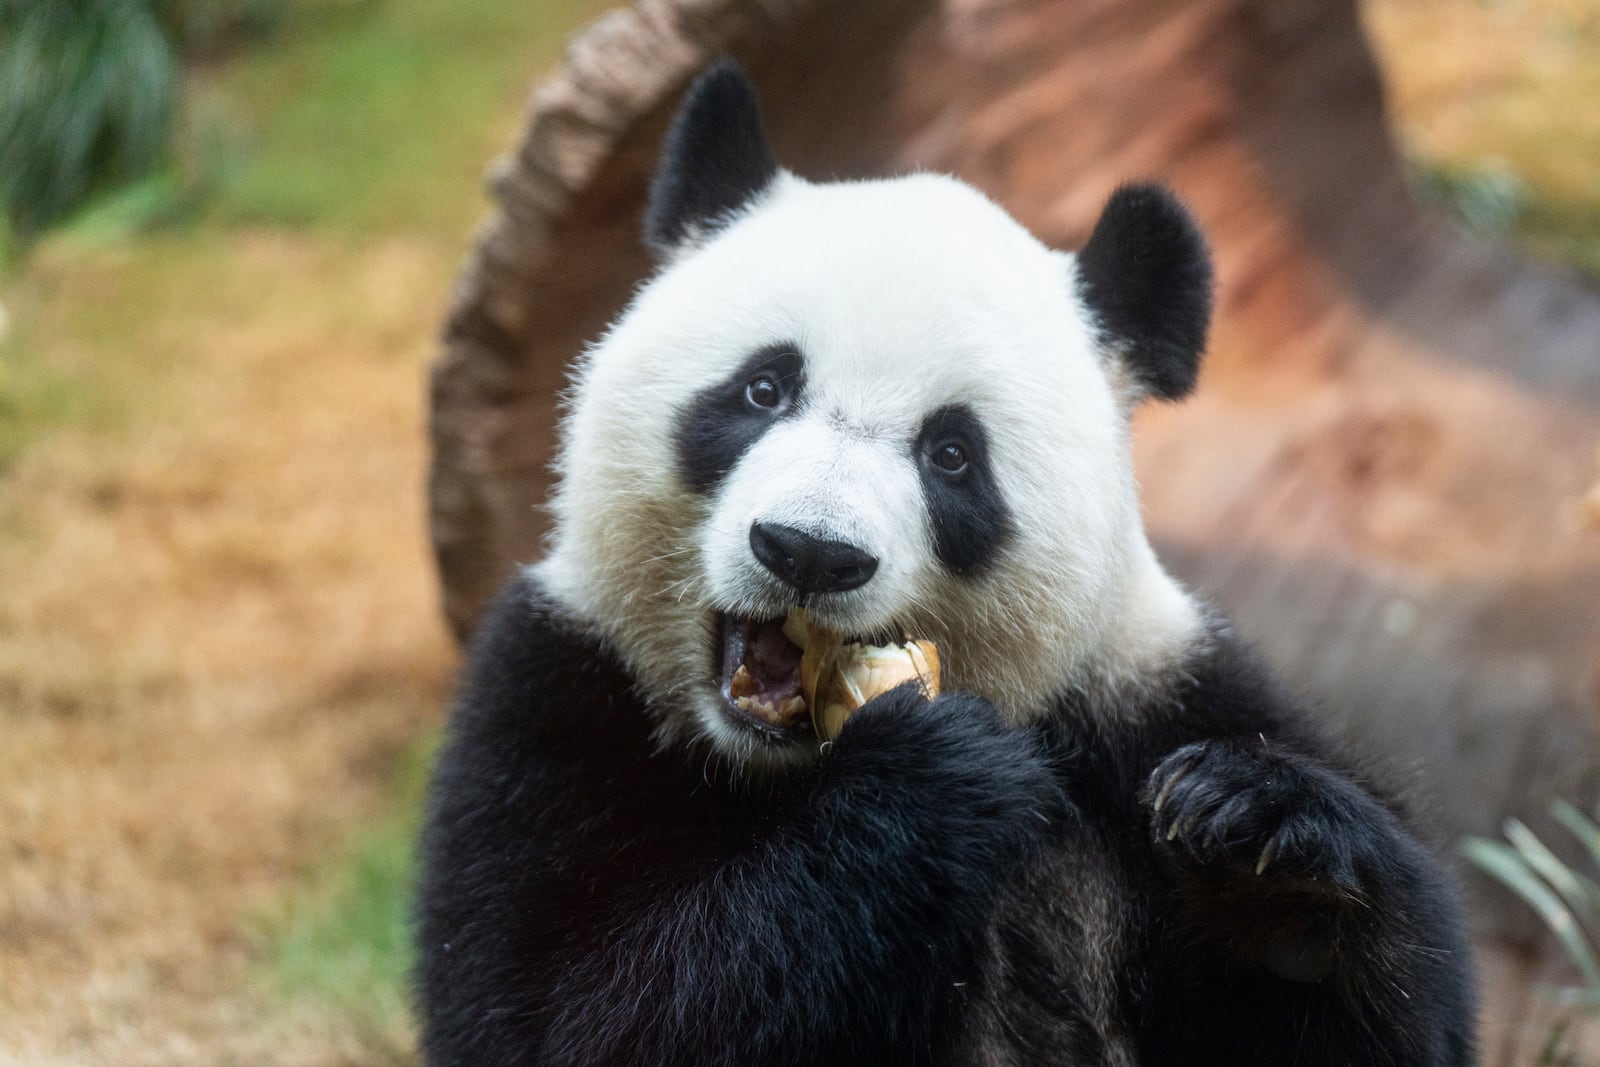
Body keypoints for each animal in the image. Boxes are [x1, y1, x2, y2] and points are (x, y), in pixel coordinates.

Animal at [419, 62, 1478, 1062]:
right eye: (763, 388)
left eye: (953, 454)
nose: (810, 550)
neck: (778, 772)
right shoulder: (550, 699)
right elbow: (568, 1015)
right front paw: (935, 784)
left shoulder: (1152, 697)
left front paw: (1265, 846)